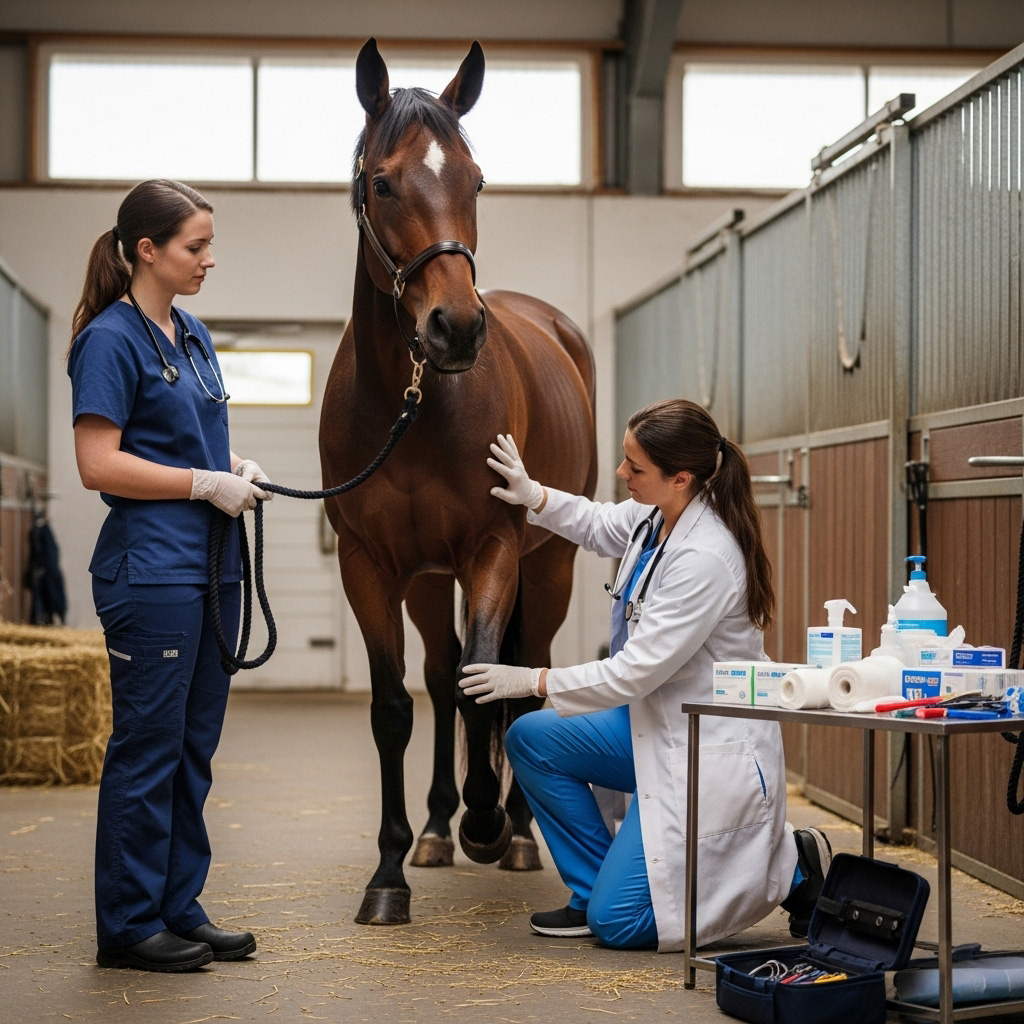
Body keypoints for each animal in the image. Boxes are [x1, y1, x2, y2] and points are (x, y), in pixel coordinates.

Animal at [319, 37, 598, 926]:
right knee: (441, 680)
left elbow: (489, 689)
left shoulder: (492, 549)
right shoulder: (371, 565)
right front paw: (390, 871)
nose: (457, 328)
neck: (411, 404)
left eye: (474, 180)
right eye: (381, 182)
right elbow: (397, 705)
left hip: (549, 567)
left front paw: (488, 822)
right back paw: (439, 829)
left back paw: (514, 833)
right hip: (425, 577)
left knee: (525, 681)